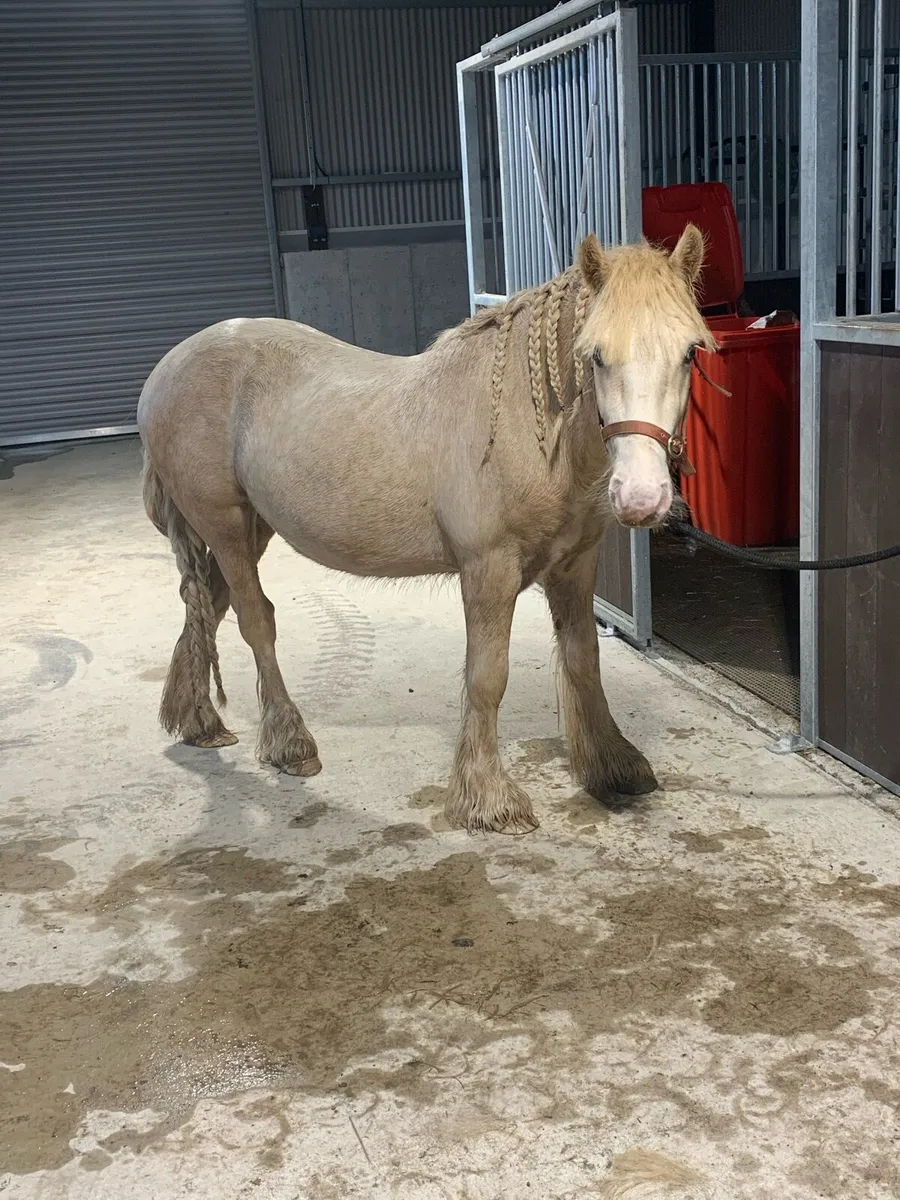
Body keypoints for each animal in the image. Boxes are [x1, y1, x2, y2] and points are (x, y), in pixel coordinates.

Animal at [138, 227, 712, 833]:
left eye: (690, 352)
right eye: (595, 355)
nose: (643, 498)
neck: (523, 424)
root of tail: (166, 370)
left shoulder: (574, 564)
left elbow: (583, 659)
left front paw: (613, 766)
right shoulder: (489, 568)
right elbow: (487, 675)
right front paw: (489, 800)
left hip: (251, 528)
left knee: (205, 606)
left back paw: (197, 721)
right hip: (224, 525)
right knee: (254, 620)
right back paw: (290, 743)